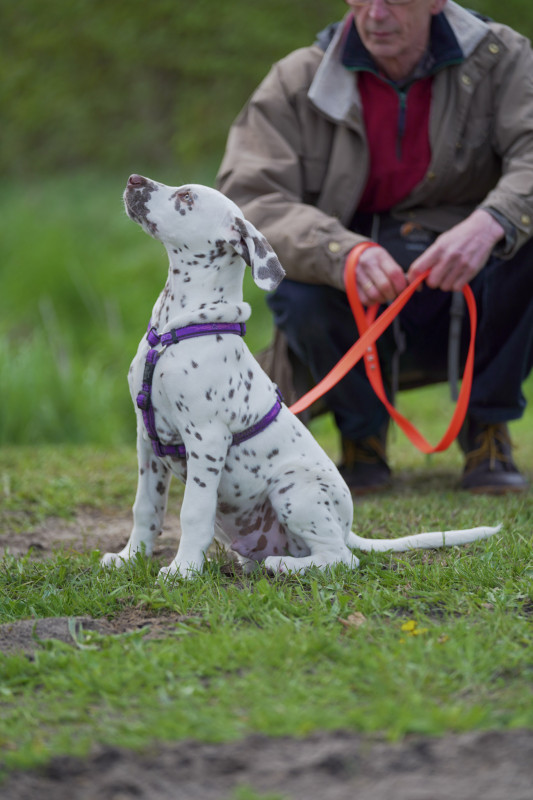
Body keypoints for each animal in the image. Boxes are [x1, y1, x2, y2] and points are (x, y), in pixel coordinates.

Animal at [102, 173, 500, 576]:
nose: (134, 179)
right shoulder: (146, 438)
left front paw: (183, 570)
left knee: (340, 558)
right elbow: (146, 508)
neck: (174, 332)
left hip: (292, 489)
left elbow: (193, 512)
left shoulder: (206, 439)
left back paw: (282, 565)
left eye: (186, 197)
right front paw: (129, 557)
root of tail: (347, 526)